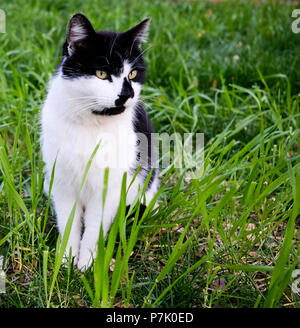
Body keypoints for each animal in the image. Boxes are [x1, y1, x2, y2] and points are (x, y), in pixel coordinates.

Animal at [41, 13, 161, 270]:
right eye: (102, 74)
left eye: (132, 74)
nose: (127, 94)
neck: (92, 123)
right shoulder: (62, 182)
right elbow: (69, 223)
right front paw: (66, 259)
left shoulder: (110, 187)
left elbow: (95, 227)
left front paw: (87, 263)